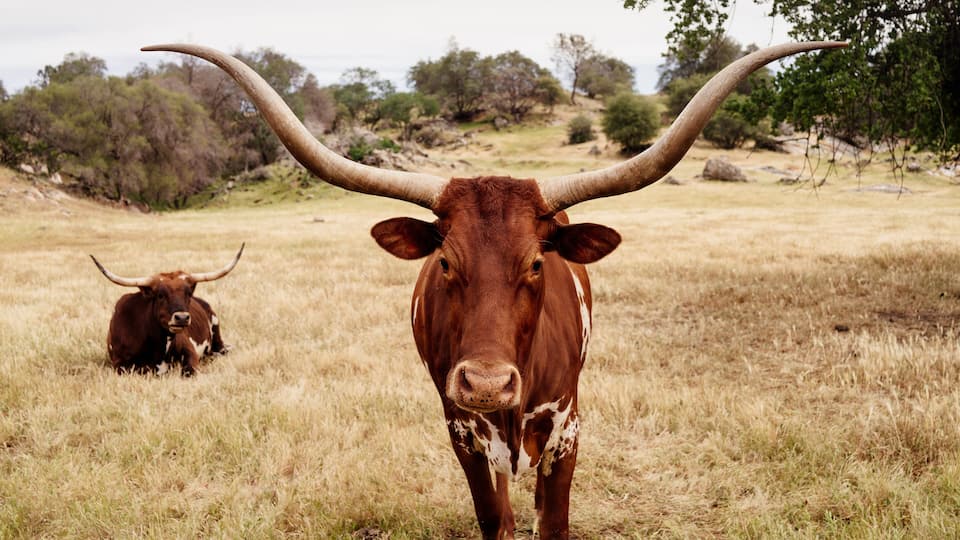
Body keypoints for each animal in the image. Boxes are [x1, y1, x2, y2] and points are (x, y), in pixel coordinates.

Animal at [90, 244, 244, 376]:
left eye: (188, 293)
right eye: (160, 295)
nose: (182, 318)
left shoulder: (190, 352)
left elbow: (189, 371)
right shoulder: (119, 364)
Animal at [143, 41, 845, 538]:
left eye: (536, 263)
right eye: (446, 263)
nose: (485, 382)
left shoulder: (568, 426)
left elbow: (552, 522)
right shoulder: (459, 428)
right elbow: (493, 519)